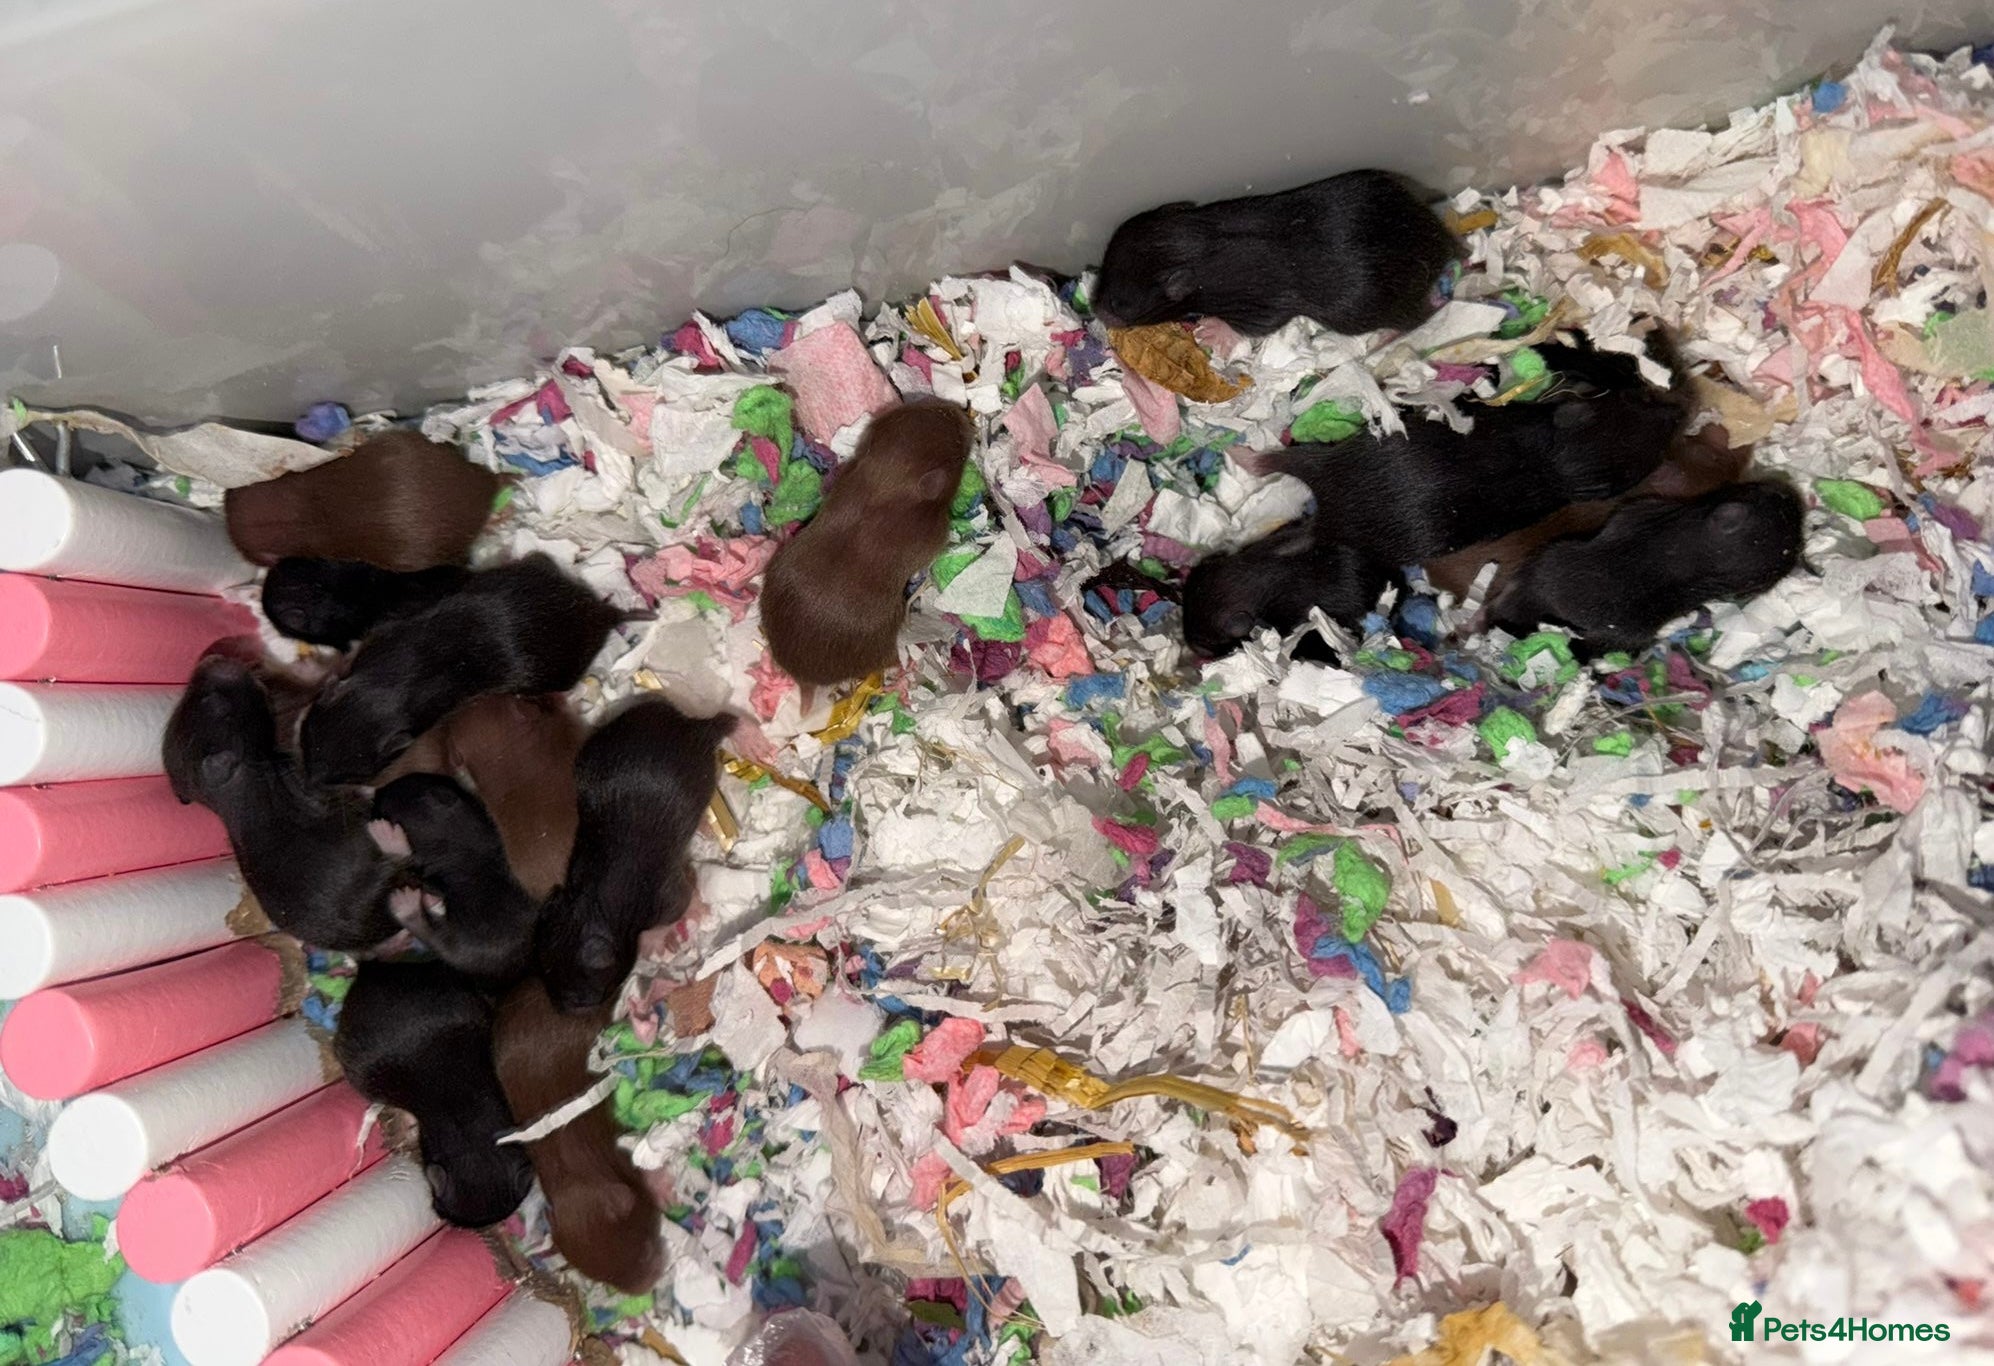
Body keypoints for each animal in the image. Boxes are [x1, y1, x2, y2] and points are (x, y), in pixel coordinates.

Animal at [536, 697, 730, 1013]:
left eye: (581, 999)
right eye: (546, 977)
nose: (561, 1010)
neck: (592, 904)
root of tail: (691, 727)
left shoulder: (661, 900)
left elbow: (683, 902)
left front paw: (656, 937)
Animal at [1092, 169, 1458, 336]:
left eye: (1119, 305)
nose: (1094, 311)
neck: (1198, 240)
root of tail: (1439, 242)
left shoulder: (1259, 308)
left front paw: (1211, 331)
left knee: (1417, 318)